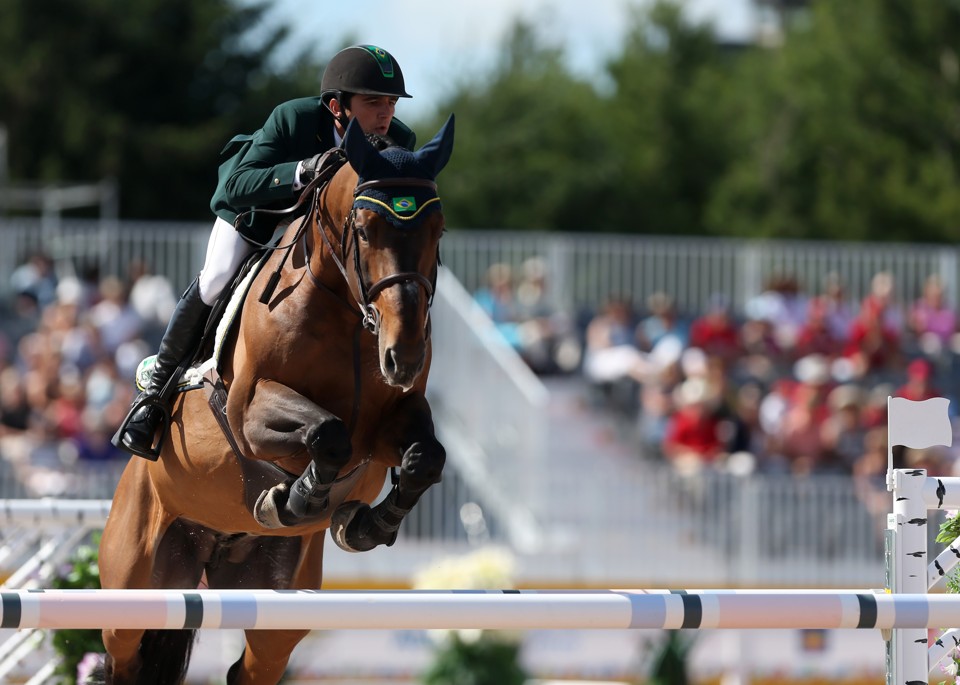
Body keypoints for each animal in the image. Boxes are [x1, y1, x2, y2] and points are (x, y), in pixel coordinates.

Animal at [96, 115, 455, 684]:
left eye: (437, 230)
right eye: (365, 230)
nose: (404, 356)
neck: (348, 314)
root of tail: (214, 543)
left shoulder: (391, 422)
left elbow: (426, 457)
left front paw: (365, 525)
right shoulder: (249, 412)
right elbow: (327, 432)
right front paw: (296, 498)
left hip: (275, 604)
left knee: (252, 666)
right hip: (135, 584)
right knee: (125, 656)